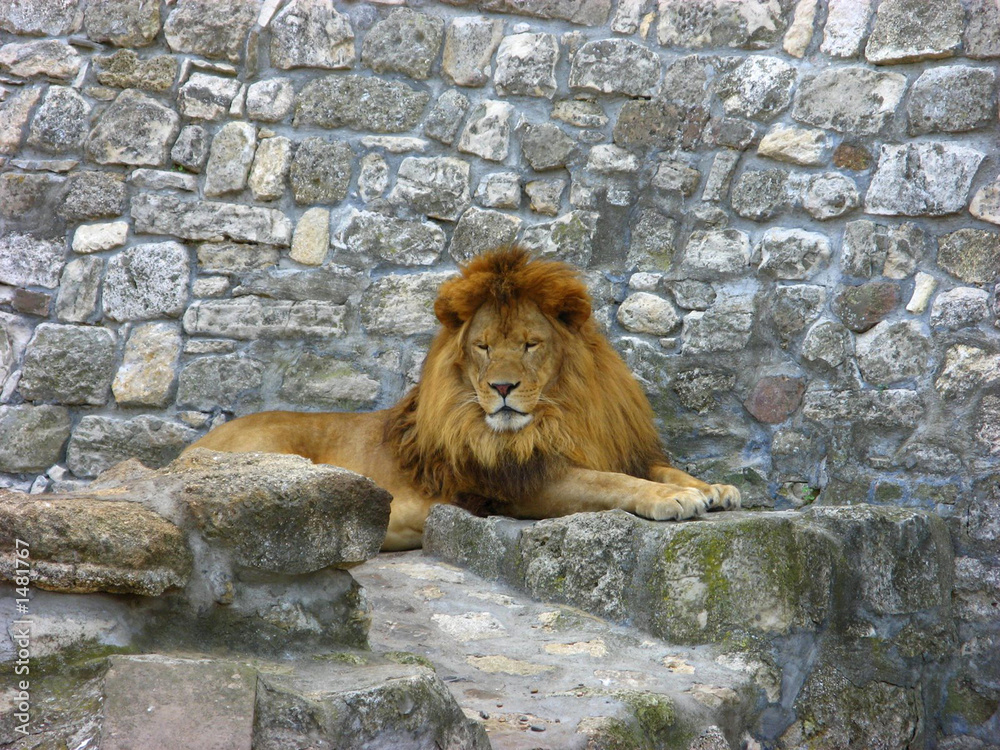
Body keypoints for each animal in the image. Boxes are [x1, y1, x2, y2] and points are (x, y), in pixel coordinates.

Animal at [185, 248, 741, 550]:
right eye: (484, 346)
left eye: (530, 344)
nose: (502, 388)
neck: (562, 413)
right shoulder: (525, 485)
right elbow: (610, 483)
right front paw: (670, 499)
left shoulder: (613, 445)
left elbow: (657, 468)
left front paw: (711, 487)